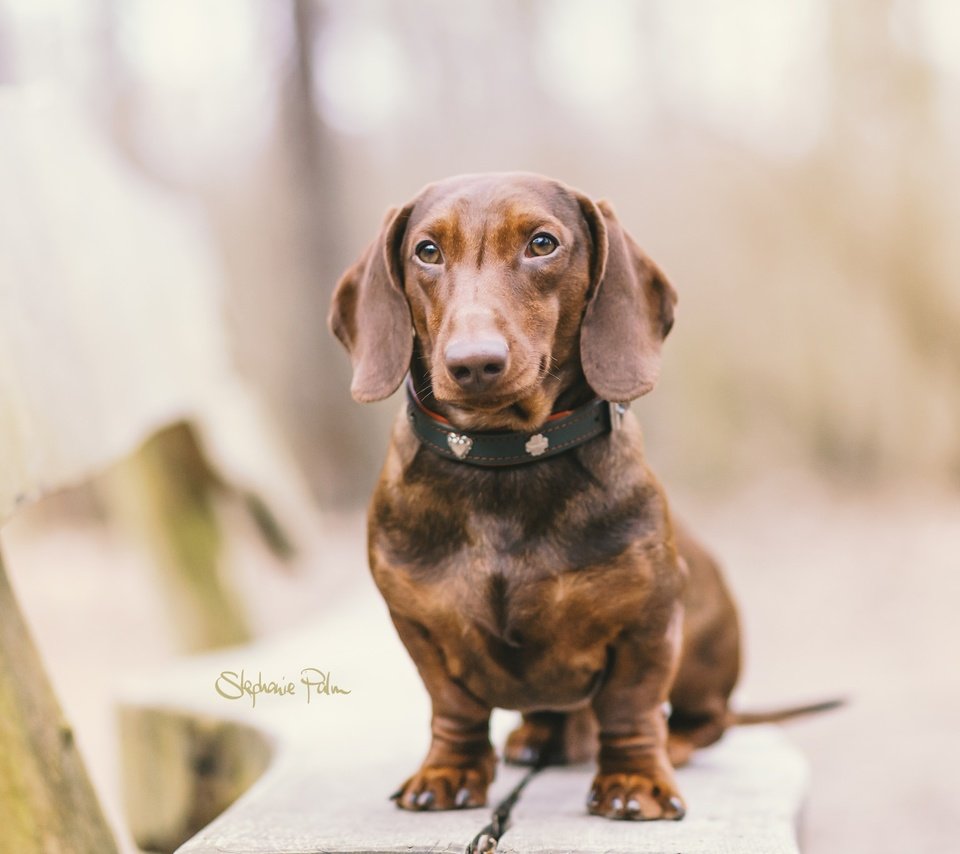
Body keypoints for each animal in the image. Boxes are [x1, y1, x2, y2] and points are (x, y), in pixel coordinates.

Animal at [334, 174, 748, 824]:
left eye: (542, 243)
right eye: (427, 251)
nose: (474, 363)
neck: (505, 460)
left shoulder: (650, 616)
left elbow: (630, 705)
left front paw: (635, 781)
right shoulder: (417, 624)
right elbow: (452, 705)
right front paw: (448, 771)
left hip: (707, 640)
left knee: (706, 722)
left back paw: (665, 745)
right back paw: (540, 738)